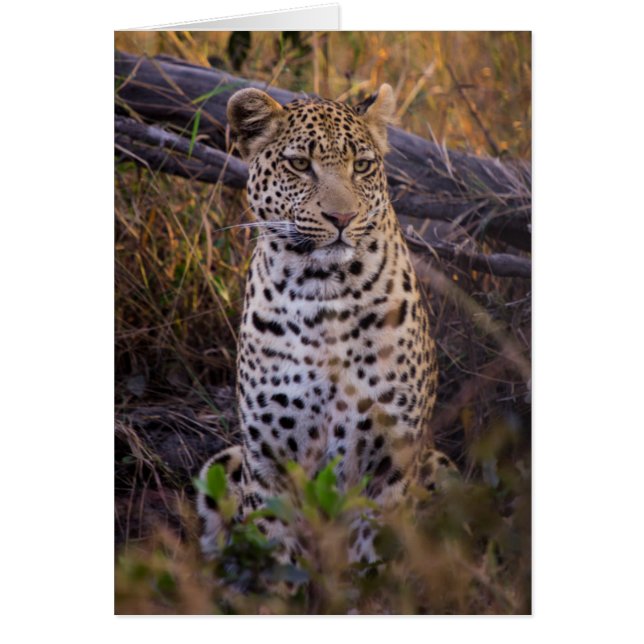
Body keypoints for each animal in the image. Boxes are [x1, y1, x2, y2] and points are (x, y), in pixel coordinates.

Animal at [197, 83, 457, 575]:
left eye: (363, 166)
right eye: (300, 164)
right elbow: (277, 562)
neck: (324, 294)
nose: (342, 218)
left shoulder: (391, 467)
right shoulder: (270, 465)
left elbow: (376, 565)